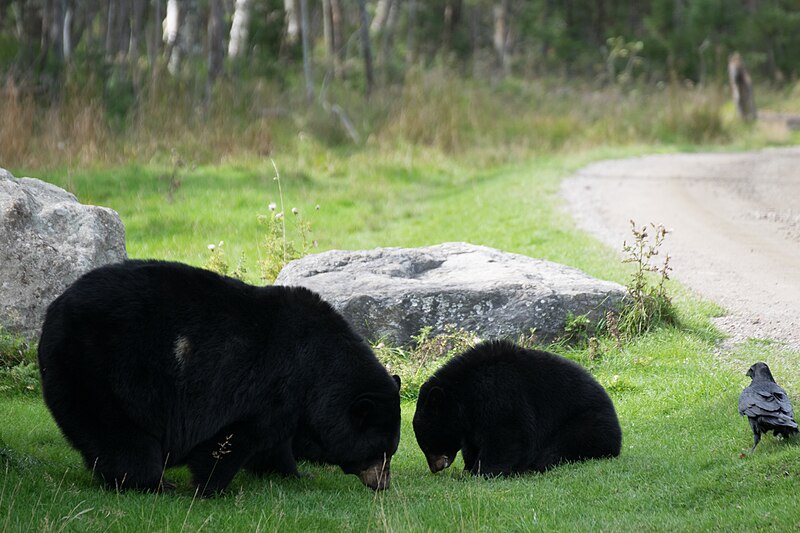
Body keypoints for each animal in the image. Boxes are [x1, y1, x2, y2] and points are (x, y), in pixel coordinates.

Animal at [37, 260, 400, 494]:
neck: (318, 370)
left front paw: (293, 475)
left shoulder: (291, 404)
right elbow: (232, 439)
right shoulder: (269, 388)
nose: (383, 484)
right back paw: (155, 483)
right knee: (121, 438)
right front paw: (211, 487)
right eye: (381, 451)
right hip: (100, 369)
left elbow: (275, 444)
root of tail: (54, 308)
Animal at [416, 340, 620, 478]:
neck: (467, 391)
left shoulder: (501, 393)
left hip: (587, 423)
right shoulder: (473, 417)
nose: (435, 467)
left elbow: (507, 435)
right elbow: (472, 442)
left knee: (563, 445)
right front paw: (469, 467)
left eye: (427, 443)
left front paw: (480, 471)